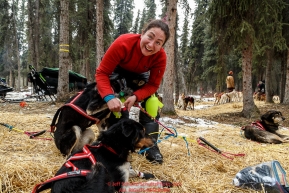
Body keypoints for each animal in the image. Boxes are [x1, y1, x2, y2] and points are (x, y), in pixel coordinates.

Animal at [34, 118, 173, 192]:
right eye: (142, 132)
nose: (155, 140)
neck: (112, 146)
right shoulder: (122, 186)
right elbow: (142, 185)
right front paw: (163, 182)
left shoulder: (123, 169)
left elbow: (133, 171)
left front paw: (148, 175)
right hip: (99, 168)